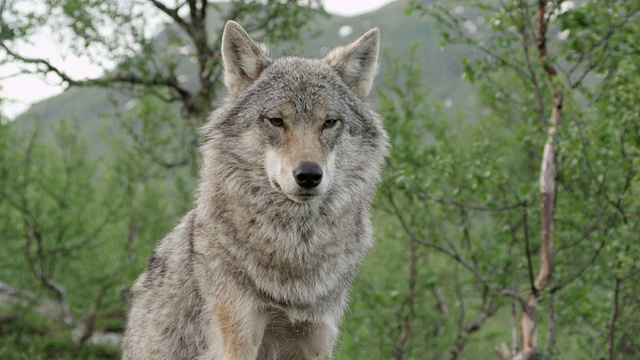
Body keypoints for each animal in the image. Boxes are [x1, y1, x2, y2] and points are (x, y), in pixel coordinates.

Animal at [122, 21, 388, 358]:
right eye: (276, 120)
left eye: (330, 122)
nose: (309, 175)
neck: (295, 252)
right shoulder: (238, 335)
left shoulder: (317, 336)